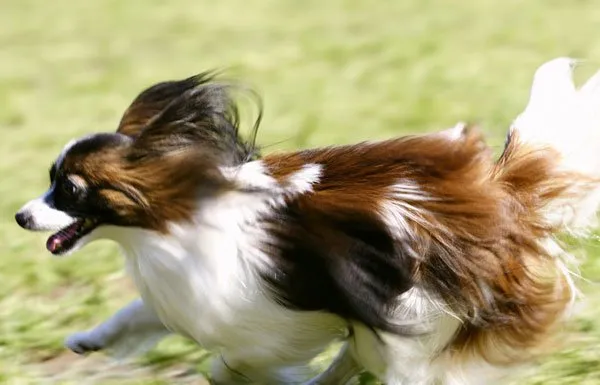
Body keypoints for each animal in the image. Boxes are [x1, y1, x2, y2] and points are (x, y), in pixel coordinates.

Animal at [16, 57, 600, 384]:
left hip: (418, 325)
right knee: (355, 358)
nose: (21, 216)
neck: (170, 220)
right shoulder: (184, 292)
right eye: (51, 179)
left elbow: (225, 368)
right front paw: (88, 340)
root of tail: (500, 194)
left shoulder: (258, 323)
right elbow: (134, 315)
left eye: (69, 190)